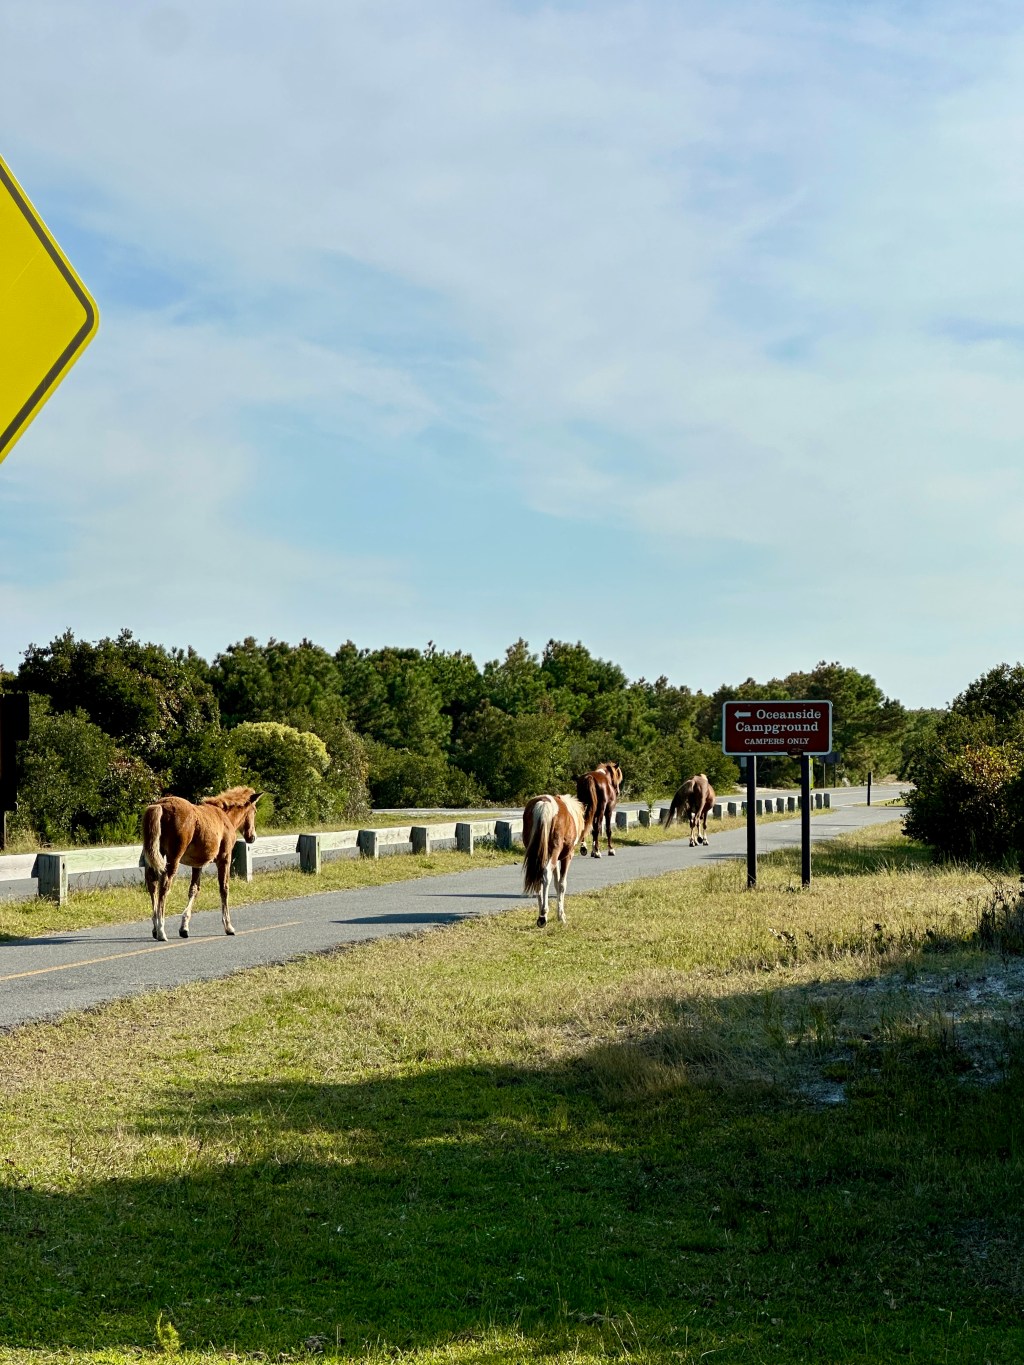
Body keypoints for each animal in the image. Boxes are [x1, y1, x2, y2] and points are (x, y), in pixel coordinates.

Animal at [141, 786, 262, 942]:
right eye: (254, 811)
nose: (252, 837)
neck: (225, 816)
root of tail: (161, 805)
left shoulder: (197, 864)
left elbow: (194, 889)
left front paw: (184, 928)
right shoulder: (225, 858)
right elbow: (224, 888)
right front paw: (228, 926)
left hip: (152, 856)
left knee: (152, 885)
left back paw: (155, 928)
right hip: (173, 858)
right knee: (164, 886)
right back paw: (161, 930)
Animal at [522, 793, 586, 927]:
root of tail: (544, 804)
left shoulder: (555, 860)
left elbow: (556, 884)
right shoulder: (567, 856)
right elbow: (561, 884)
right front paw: (561, 916)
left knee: (538, 877)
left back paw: (542, 914)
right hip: (555, 852)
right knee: (546, 874)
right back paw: (543, 915)